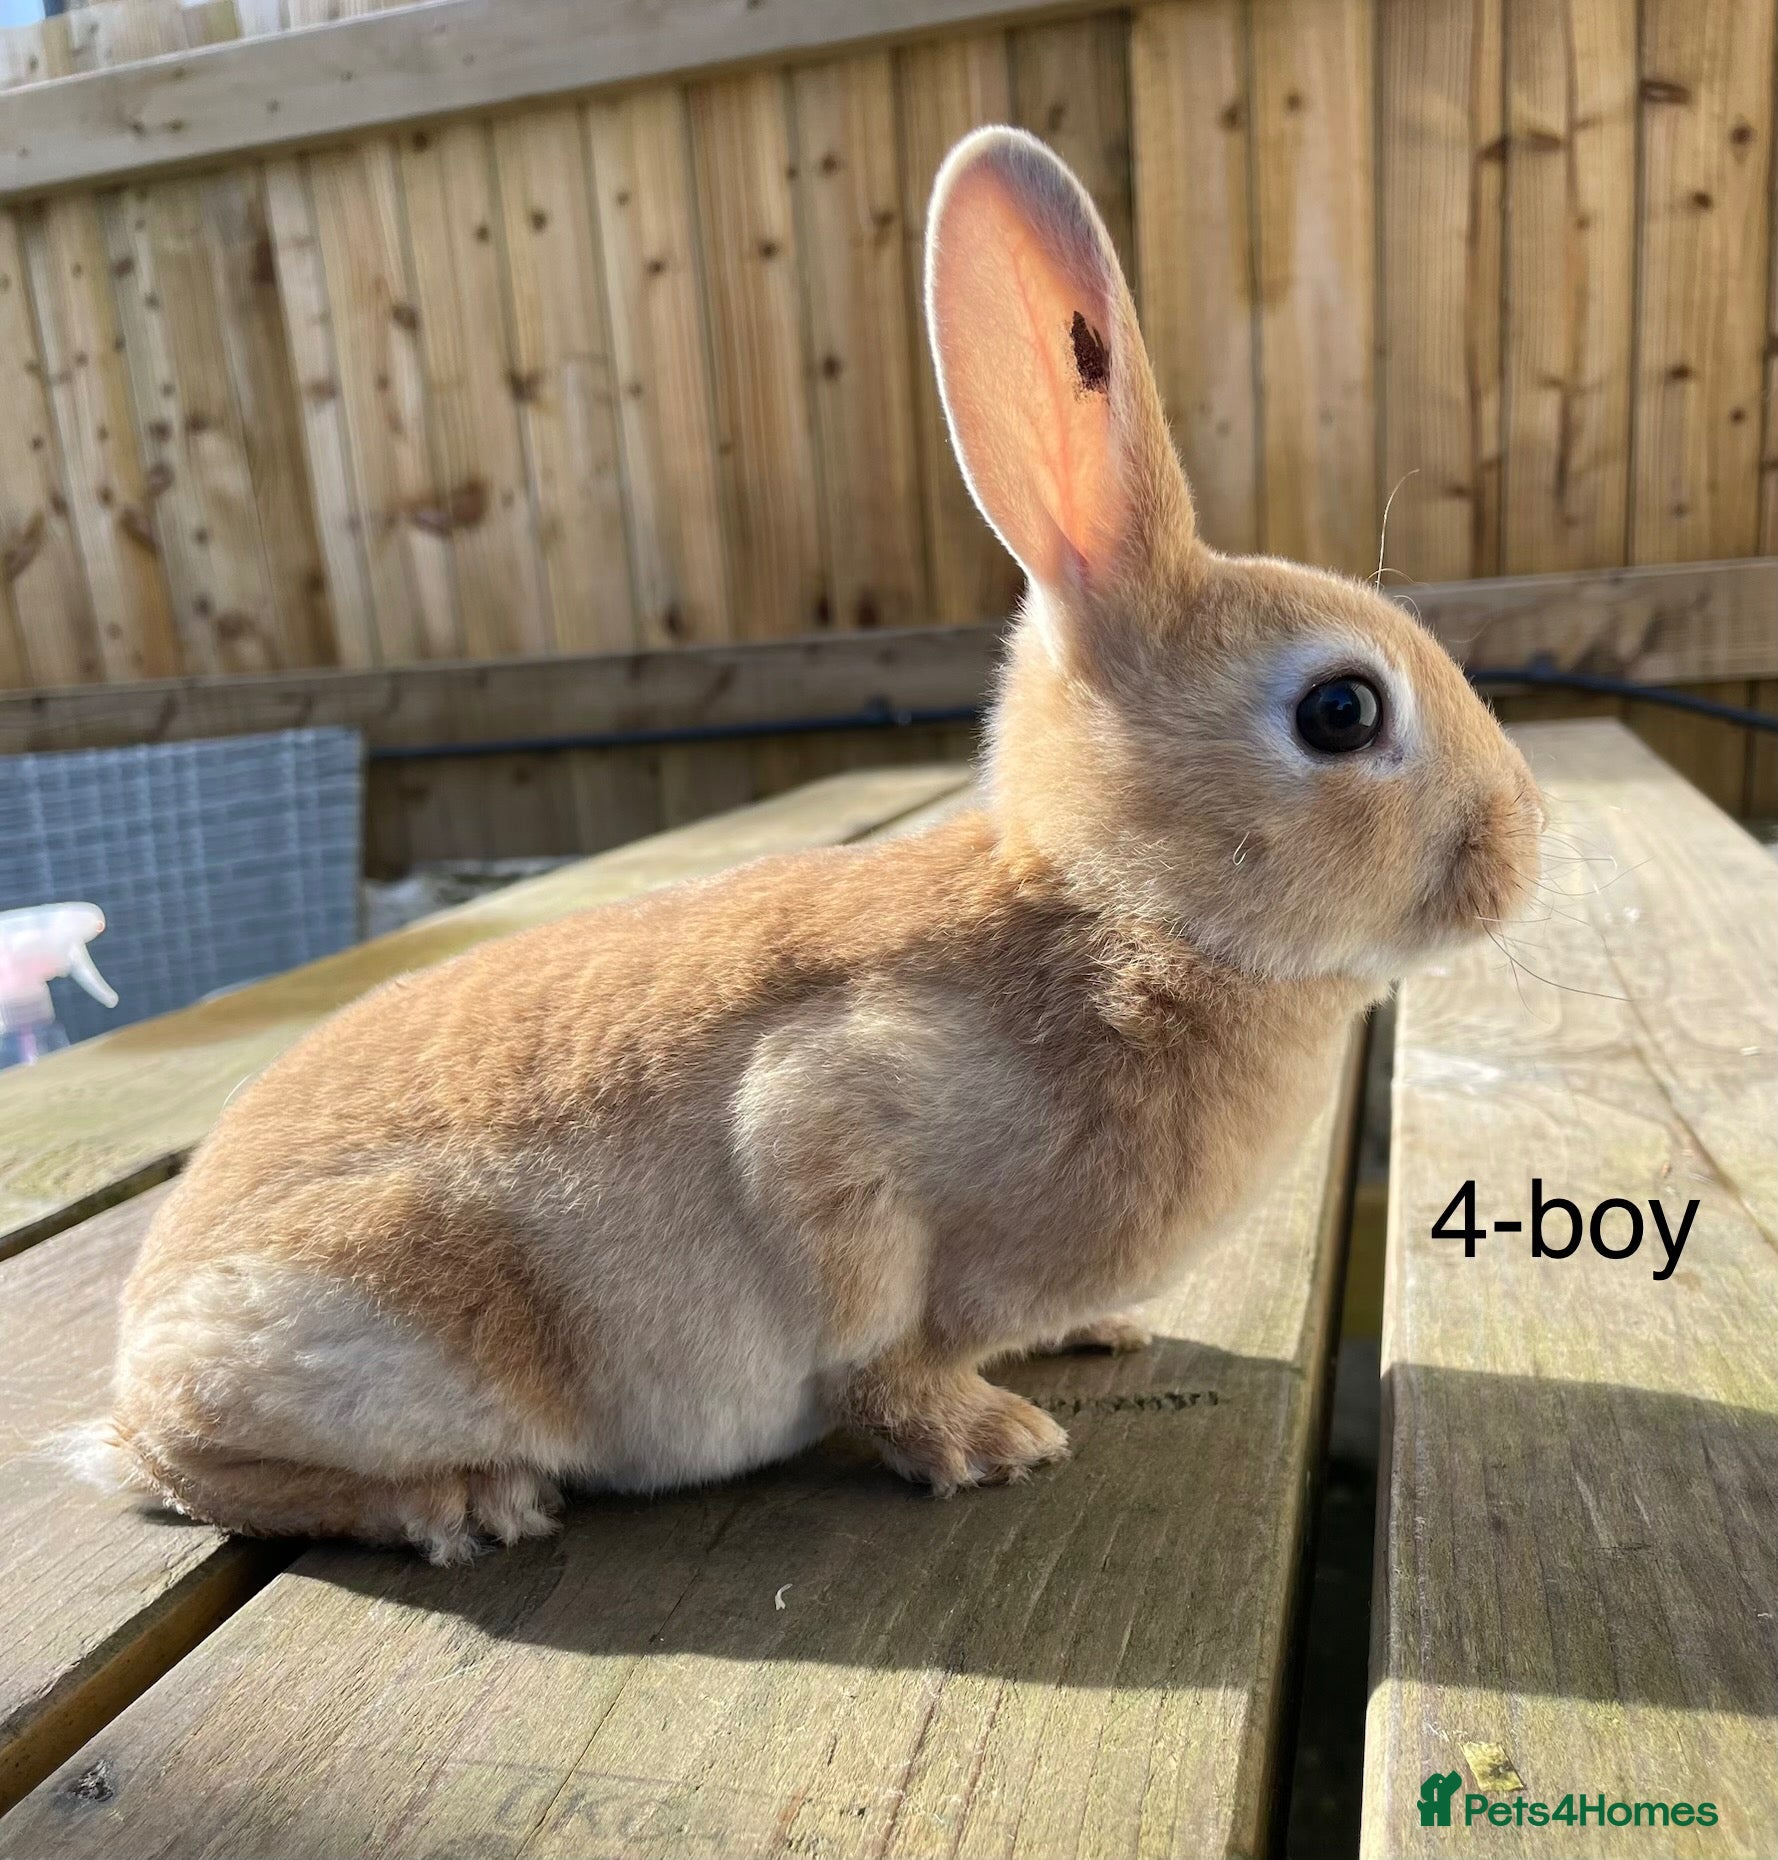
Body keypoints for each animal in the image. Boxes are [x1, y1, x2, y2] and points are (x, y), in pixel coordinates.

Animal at [102, 127, 1541, 1563]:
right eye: (1340, 712)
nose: (1519, 856)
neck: (1114, 911)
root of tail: (132, 1360)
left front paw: (1097, 1333)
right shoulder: (826, 1131)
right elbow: (876, 1351)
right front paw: (990, 1440)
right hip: (384, 1320)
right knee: (204, 1467)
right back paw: (463, 1501)